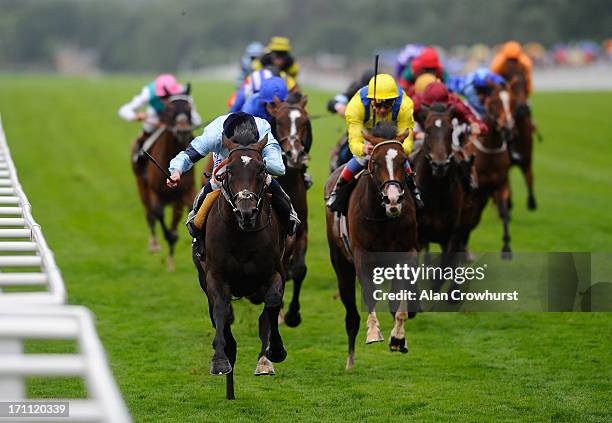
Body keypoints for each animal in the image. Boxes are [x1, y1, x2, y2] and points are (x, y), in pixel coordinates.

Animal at [133, 93, 197, 272]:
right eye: (169, 108)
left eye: (189, 107)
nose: (182, 130)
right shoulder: (155, 192)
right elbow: (159, 213)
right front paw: (168, 238)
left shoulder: (183, 194)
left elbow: (186, 211)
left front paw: (170, 261)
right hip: (142, 187)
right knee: (150, 215)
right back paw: (154, 245)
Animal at [194, 131, 292, 400]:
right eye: (229, 170)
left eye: (261, 169)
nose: (246, 212)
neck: (243, 235)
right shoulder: (215, 278)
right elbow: (220, 310)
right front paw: (220, 360)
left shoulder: (276, 273)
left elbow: (272, 305)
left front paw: (274, 352)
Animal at [326, 121, 416, 368]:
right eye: (375, 163)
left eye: (403, 161)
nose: (393, 199)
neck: (384, 218)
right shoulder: (362, 256)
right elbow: (368, 294)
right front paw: (374, 332)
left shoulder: (408, 253)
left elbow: (400, 297)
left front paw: (398, 338)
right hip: (341, 265)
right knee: (351, 315)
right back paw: (350, 361)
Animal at [460, 84, 512, 256]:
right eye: (495, 102)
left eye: (511, 100)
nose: (507, 127)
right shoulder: (476, 191)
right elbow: (468, 219)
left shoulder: (501, 184)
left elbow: (504, 213)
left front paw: (506, 246)